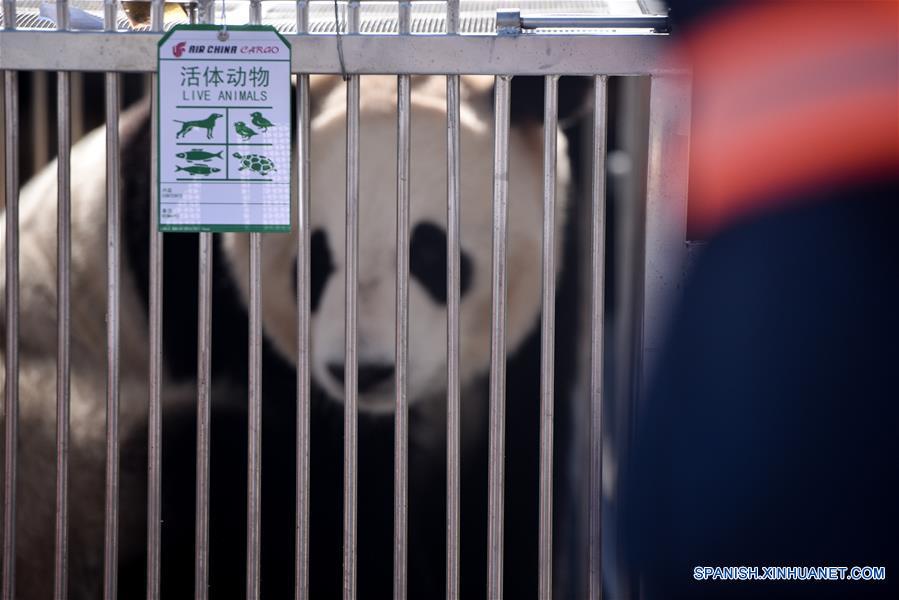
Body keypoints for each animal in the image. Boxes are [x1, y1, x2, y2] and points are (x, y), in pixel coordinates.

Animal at [3, 72, 588, 596]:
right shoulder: (211, 302)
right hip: (70, 447)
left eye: (430, 253)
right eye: (314, 261)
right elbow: (321, 487)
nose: (365, 371)